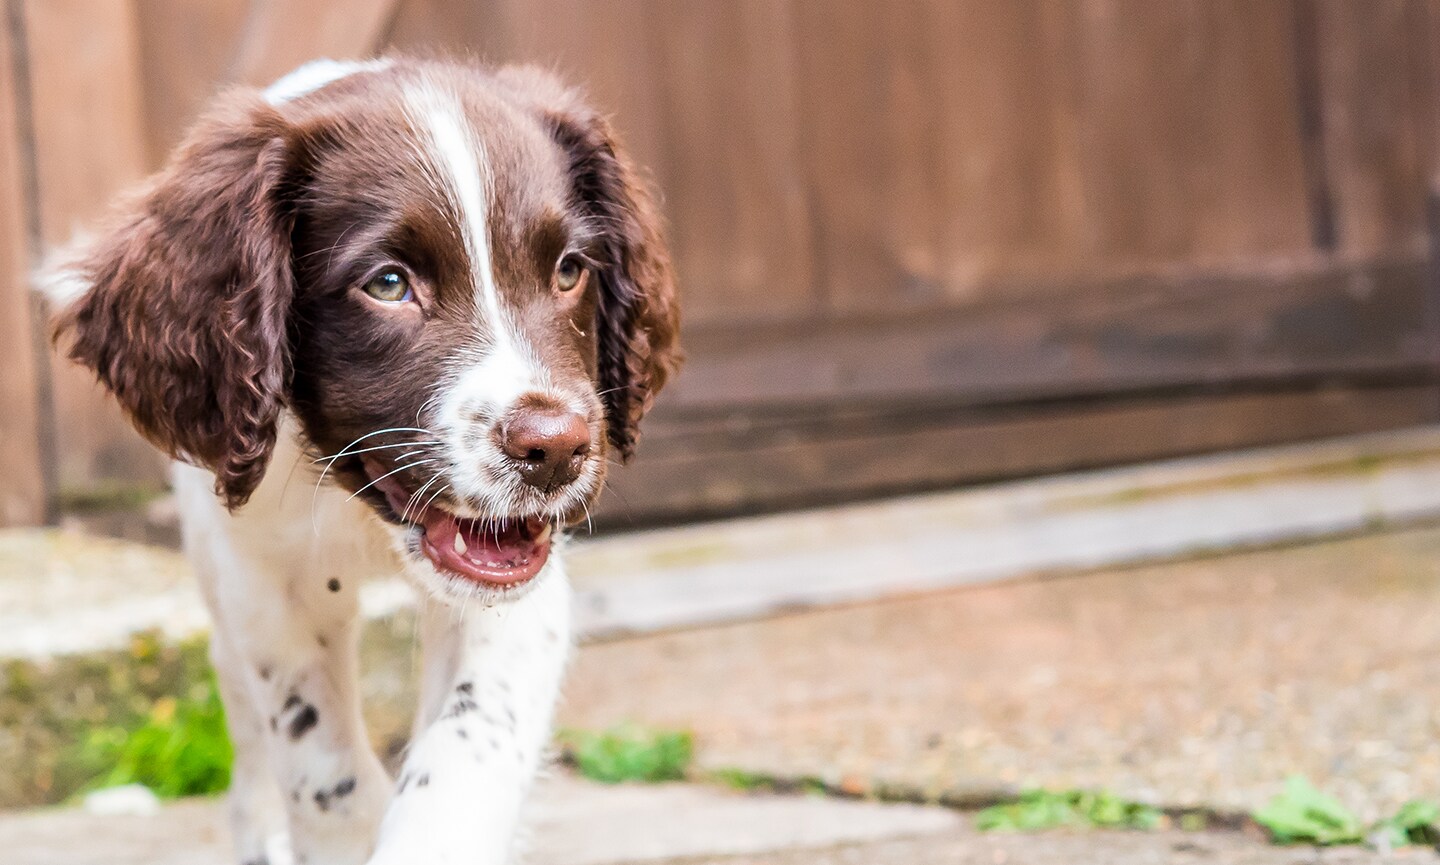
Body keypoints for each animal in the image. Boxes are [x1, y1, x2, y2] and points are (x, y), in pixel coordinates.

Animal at [40, 57, 679, 857]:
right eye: (388, 284)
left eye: (569, 271)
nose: (557, 449)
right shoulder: (263, 581)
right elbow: (320, 763)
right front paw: (338, 833)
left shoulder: (519, 593)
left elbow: (469, 742)